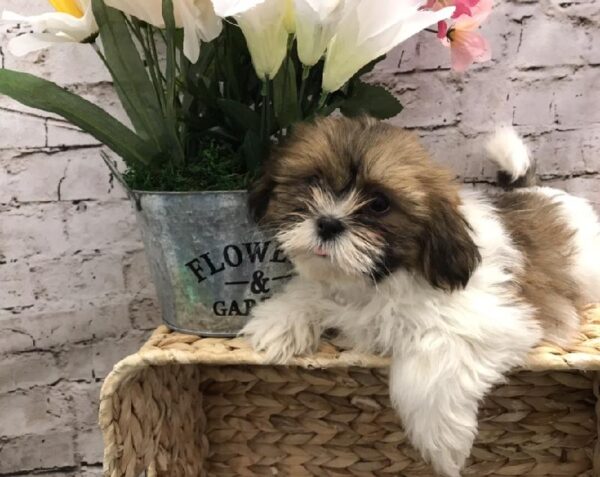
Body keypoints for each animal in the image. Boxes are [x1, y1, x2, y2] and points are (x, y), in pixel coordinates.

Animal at [239, 116, 600, 476]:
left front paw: (442, 441)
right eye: (313, 181)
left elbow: (433, 362)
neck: (381, 280)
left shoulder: (493, 318)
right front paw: (279, 321)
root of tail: (538, 189)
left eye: (380, 204)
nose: (328, 223)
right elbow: (311, 291)